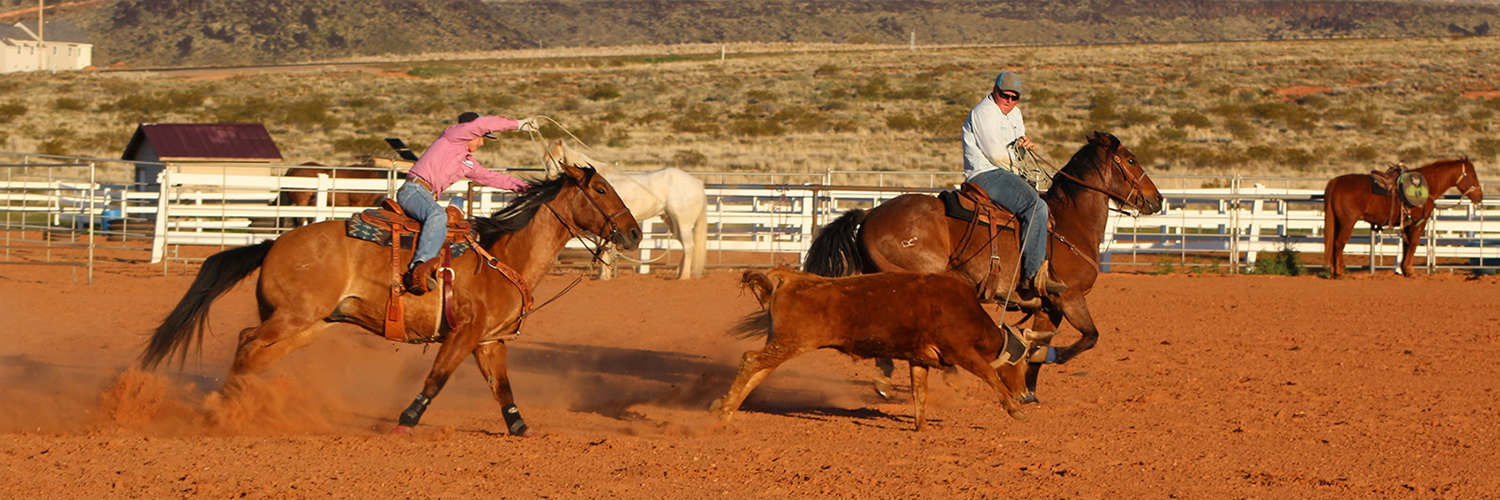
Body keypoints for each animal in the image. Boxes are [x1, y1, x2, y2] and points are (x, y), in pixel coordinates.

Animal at [141, 161, 651, 435]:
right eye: (601, 188)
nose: (634, 232)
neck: (504, 255)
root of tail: (274, 243)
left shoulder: (490, 342)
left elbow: (503, 389)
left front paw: (522, 430)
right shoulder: (463, 334)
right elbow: (436, 379)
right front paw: (405, 421)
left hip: (309, 323)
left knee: (256, 355)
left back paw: (238, 405)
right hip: (292, 316)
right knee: (247, 341)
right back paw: (221, 408)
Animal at [546, 140, 708, 277]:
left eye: (557, 157)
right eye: (546, 159)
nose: (550, 177)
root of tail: (698, 183)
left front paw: (603, 276)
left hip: (684, 223)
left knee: (689, 246)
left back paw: (683, 276)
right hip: (672, 222)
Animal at [804, 131, 1164, 402]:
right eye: (1131, 159)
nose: (1157, 199)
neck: (1070, 222)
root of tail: (869, 214)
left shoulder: (1048, 306)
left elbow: (1041, 343)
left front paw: (1028, 389)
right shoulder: (1069, 297)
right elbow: (1089, 337)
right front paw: (1048, 359)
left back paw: (886, 377)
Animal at [1326, 156, 1488, 276]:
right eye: (1473, 175)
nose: (1479, 196)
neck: (1427, 186)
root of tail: (1336, 181)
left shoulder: (1407, 223)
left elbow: (1406, 244)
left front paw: (1404, 269)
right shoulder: (1419, 222)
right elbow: (1414, 244)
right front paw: (1410, 270)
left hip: (1338, 222)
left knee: (1333, 243)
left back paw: (1334, 271)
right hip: (1348, 222)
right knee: (1339, 243)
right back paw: (1340, 272)